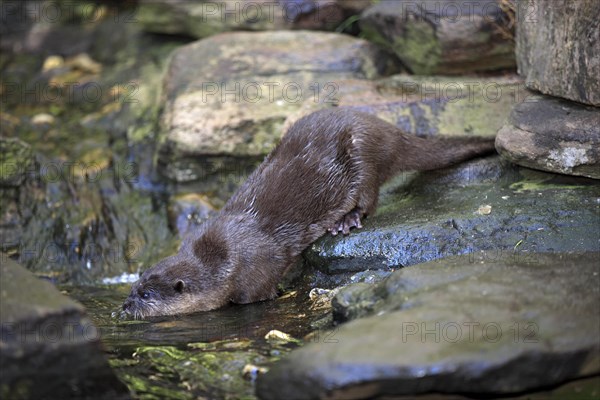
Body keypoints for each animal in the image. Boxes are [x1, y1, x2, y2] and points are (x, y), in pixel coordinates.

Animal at [119, 108, 494, 318]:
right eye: (135, 286)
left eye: (146, 296)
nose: (124, 306)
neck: (220, 260)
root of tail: (388, 130)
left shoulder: (255, 275)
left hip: (362, 155)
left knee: (370, 196)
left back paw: (347, 220)